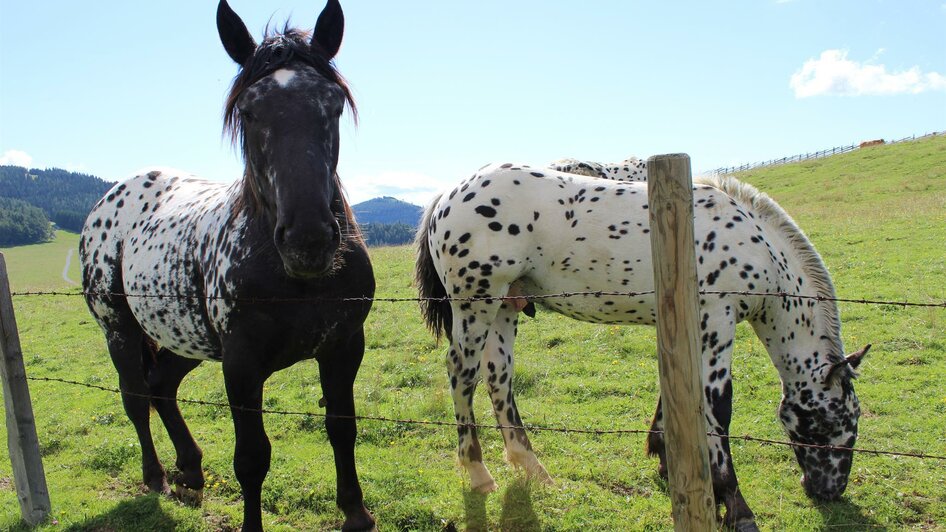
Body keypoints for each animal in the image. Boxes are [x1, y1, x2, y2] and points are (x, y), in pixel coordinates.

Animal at [77, 2, 374, 528]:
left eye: (334, 104)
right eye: (249, 111)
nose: (309, 240)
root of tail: (112, 198)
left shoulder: (343, 348)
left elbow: (342, 429)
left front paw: (356, 513)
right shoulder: (241, 365)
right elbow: (252, 458)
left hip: (184, 335)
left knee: (161, 387)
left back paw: (191, 471)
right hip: (118, 328)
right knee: (135, 397)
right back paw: (156, 476)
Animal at [414, 158, 872, 528]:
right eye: (834, 421)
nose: (828, 489)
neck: (754, 244)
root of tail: (446, 196)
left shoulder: (685, 329)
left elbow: (673, 396)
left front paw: (667, 460)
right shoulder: (716, 322)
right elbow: (718, 412)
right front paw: (736, 507)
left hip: (506, 306)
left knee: (499, 378)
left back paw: (534, 470)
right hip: (477, 303)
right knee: (462, 374)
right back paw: (478, 472)